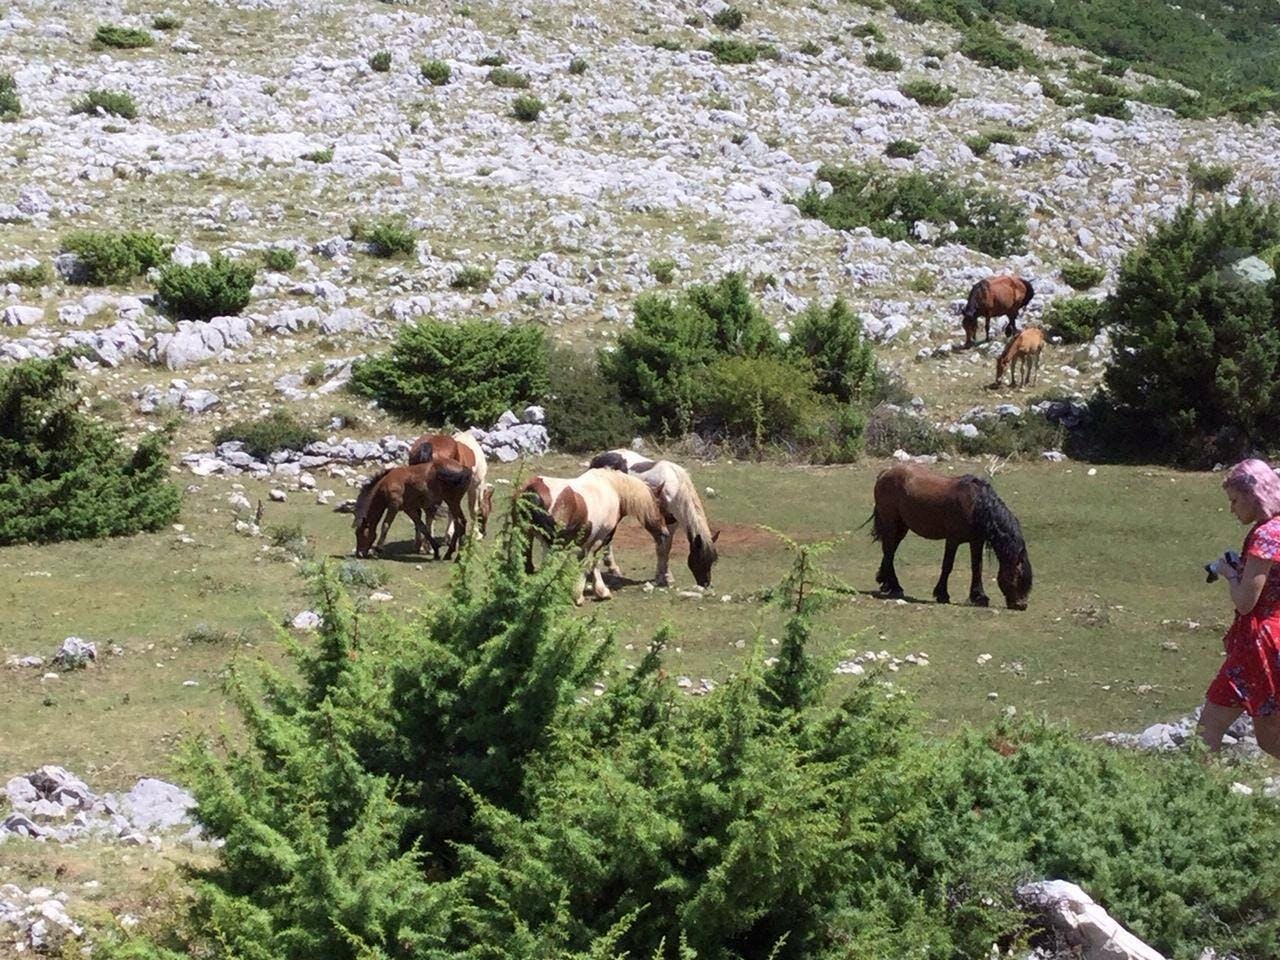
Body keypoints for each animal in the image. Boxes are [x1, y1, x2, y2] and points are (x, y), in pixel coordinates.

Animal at [517, 468, 665, 604]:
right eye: (659, 505)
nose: (665, 533)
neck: (613, 489)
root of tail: (532, 489)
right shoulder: (600, 539)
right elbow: (591, 563)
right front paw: (590, 594)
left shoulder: (586, 542)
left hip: (529, 536)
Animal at [588, 450, 721, 591]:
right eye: (699, 559)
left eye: (712, 561)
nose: (705, 583)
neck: (674, 487)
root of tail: (599, 458)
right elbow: (660, 548)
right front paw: (661, 578)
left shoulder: (671, 523)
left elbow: (666, 549)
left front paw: (666, 576)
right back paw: (613, 567)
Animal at [865, 463, 1034, 611]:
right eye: (1017, 576)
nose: (1021, 605)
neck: (976, 504)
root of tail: (885, 472)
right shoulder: (953, 540)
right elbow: (947, 565)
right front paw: (942, 595)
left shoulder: (976, 541)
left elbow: (977, 567)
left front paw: (979, 597)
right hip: (891, 523)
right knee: (889, 551)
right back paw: (894, 587)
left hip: (901, 527)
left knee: (890, 550)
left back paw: (886, 582)